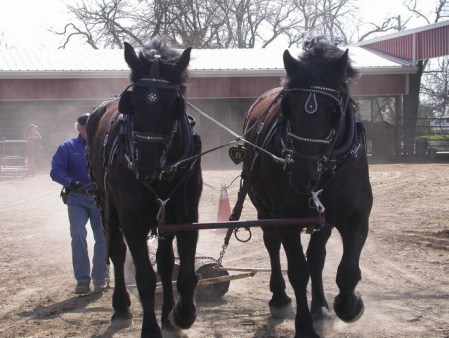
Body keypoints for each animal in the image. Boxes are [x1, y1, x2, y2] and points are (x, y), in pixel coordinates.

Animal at [86, 38, 201, 336]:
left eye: (173, 105)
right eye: (134, 103)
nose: (145, 166)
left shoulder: (186, 216)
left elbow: (184, 273)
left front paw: (181, 315)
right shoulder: (132, 220)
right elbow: (145, 277)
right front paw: (150, 327)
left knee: (164, 261)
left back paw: (167, 314)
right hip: (107, 208)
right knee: (116, 251)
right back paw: (121, 307)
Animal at [242, 41, 372, 336]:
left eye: (335, 111)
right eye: (287, 107)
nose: (303, 177)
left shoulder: (355, 215)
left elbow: (347, 270)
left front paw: (348, 306)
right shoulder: (287, 218)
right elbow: (298, 271)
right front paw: (304, 325)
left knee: (317, 257)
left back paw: (321, 308)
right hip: (264, 207)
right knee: (272, 244)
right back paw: (279, 298)